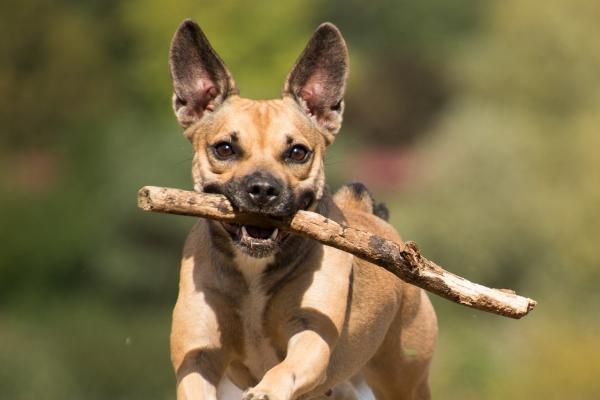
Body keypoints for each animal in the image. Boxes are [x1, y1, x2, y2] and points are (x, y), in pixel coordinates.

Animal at [168, 19, 436, 400]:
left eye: (297, 152)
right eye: (224, 149)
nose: (263, 189)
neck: (254, 268)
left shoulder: (311, 336)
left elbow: (288, 367)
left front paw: (266, 391)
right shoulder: (198, 354)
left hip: (403, 372)